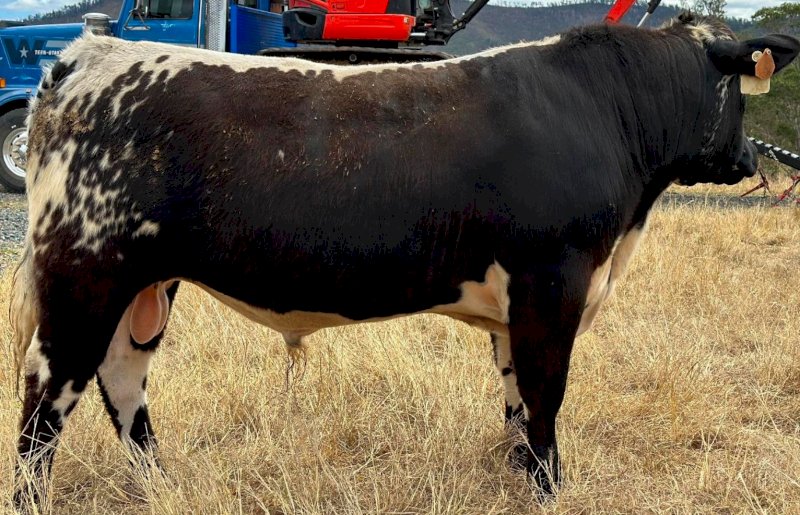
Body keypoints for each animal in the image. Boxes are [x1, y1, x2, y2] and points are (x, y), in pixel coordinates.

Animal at [9, 13, 799, 507]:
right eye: (739, 91)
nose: (748, 158)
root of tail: (86, 56)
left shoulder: (515, 303)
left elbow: (514, 397)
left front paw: (518, 476)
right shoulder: (554, 280)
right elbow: (546, 393)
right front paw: (549, 488)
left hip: (144, 282)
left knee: (121, 379)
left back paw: (161, 485)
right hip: (84, 267)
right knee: (48, 394)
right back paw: (34, 499)